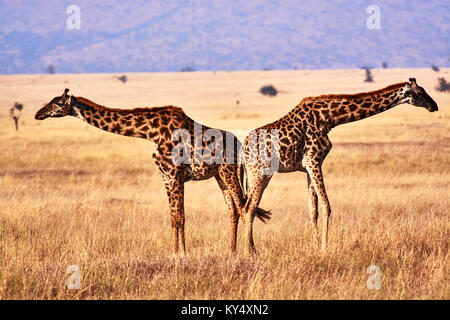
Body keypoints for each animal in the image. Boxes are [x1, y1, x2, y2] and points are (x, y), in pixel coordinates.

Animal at [36, 89, 270, 256]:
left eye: (58, 103)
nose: (38, 114)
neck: (151, 133)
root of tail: (239, 145)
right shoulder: (166, 176)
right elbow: (175, 217)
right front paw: (178, 252)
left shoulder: (174, 174)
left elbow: (179, 217)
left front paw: (179, 254)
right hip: (219, 175)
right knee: (233, 210)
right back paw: (232, 251)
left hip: (228, 171)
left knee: (243, 208)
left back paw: (249, 252)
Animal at [241, 78, 438, 255]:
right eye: (420, 92)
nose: (434, 106)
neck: (330, 118)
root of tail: (244, 147)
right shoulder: (313, 160)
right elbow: (326, 206)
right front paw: (324, 249)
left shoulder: (308, 167)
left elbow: (313, 210)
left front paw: (315, 246)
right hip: (260, 173)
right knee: (249, 208)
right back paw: (249, 252)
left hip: (256, 175)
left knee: (246, 207)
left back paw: (249, 249)